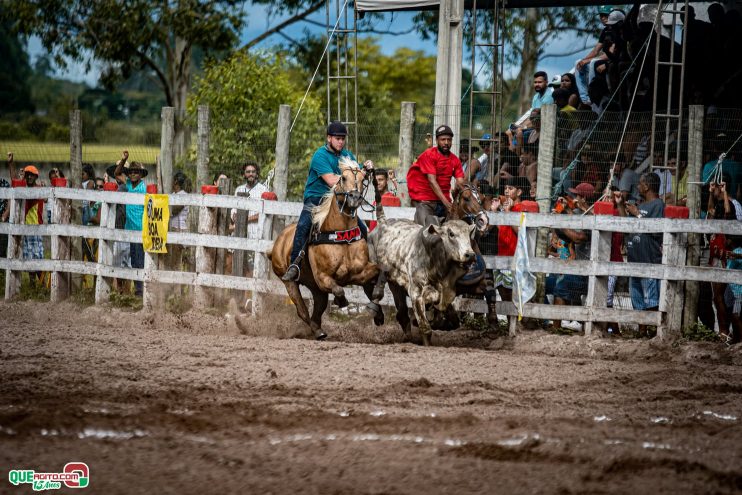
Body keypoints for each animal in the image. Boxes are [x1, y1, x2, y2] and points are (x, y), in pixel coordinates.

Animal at [268, 159, 384, 340]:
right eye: (343, 177)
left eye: (363, 178)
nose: (355, 197)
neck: (340, 236)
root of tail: (278, 243)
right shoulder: (323, 278)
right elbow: (338, 290)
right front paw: (340, 302)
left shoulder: (360, 272)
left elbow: (376, 276)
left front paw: (377, 312)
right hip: (289, 282)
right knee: (302, 311)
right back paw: (318, 332)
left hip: (316, 289)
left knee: (317, 311)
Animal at [368, 178, 476, 344]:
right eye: (451, 234)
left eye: (469, 235)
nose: (469, 255)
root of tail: (383, 223)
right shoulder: (416, 294)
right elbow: (425, 327)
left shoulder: (446, 294)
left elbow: (452, 321)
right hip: (390, 281)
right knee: (398, 310)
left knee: (402, 314)